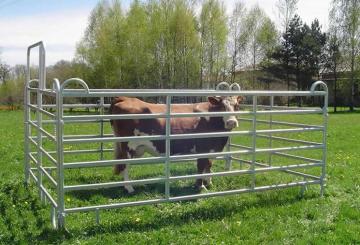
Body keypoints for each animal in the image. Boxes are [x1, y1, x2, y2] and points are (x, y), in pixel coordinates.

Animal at [109, 94, 243, 192]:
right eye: (221, 107)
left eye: (236, 106)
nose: (231, 122)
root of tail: (126, 98)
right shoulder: (202, 149)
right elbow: (201, 166)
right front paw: (200, 186)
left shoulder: (211, 149)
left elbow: (209, 165)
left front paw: (209, 182)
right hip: (127, 146)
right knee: (124, 165)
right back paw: (129, 188)